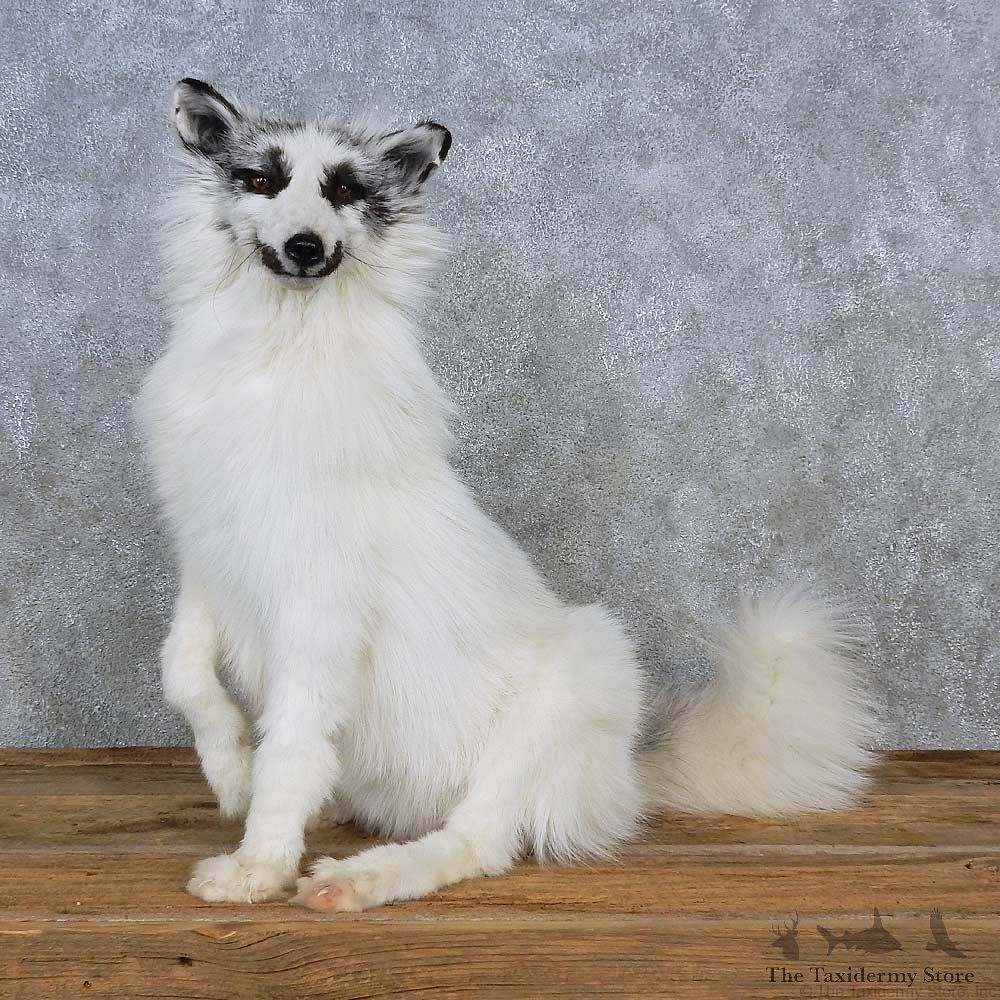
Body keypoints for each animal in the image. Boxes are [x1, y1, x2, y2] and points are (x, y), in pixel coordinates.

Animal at [134, 78, 880, 910]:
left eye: (344, 191)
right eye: (261, 180)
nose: (304, 246)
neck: (272, 352)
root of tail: (627, 777)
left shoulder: (317, 608)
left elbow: (291, 748)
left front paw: (259, 865)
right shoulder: (206, 557)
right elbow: (185, 675)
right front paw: (231, 772)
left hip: (576, 677)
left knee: (477, 844)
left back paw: (361, 879)